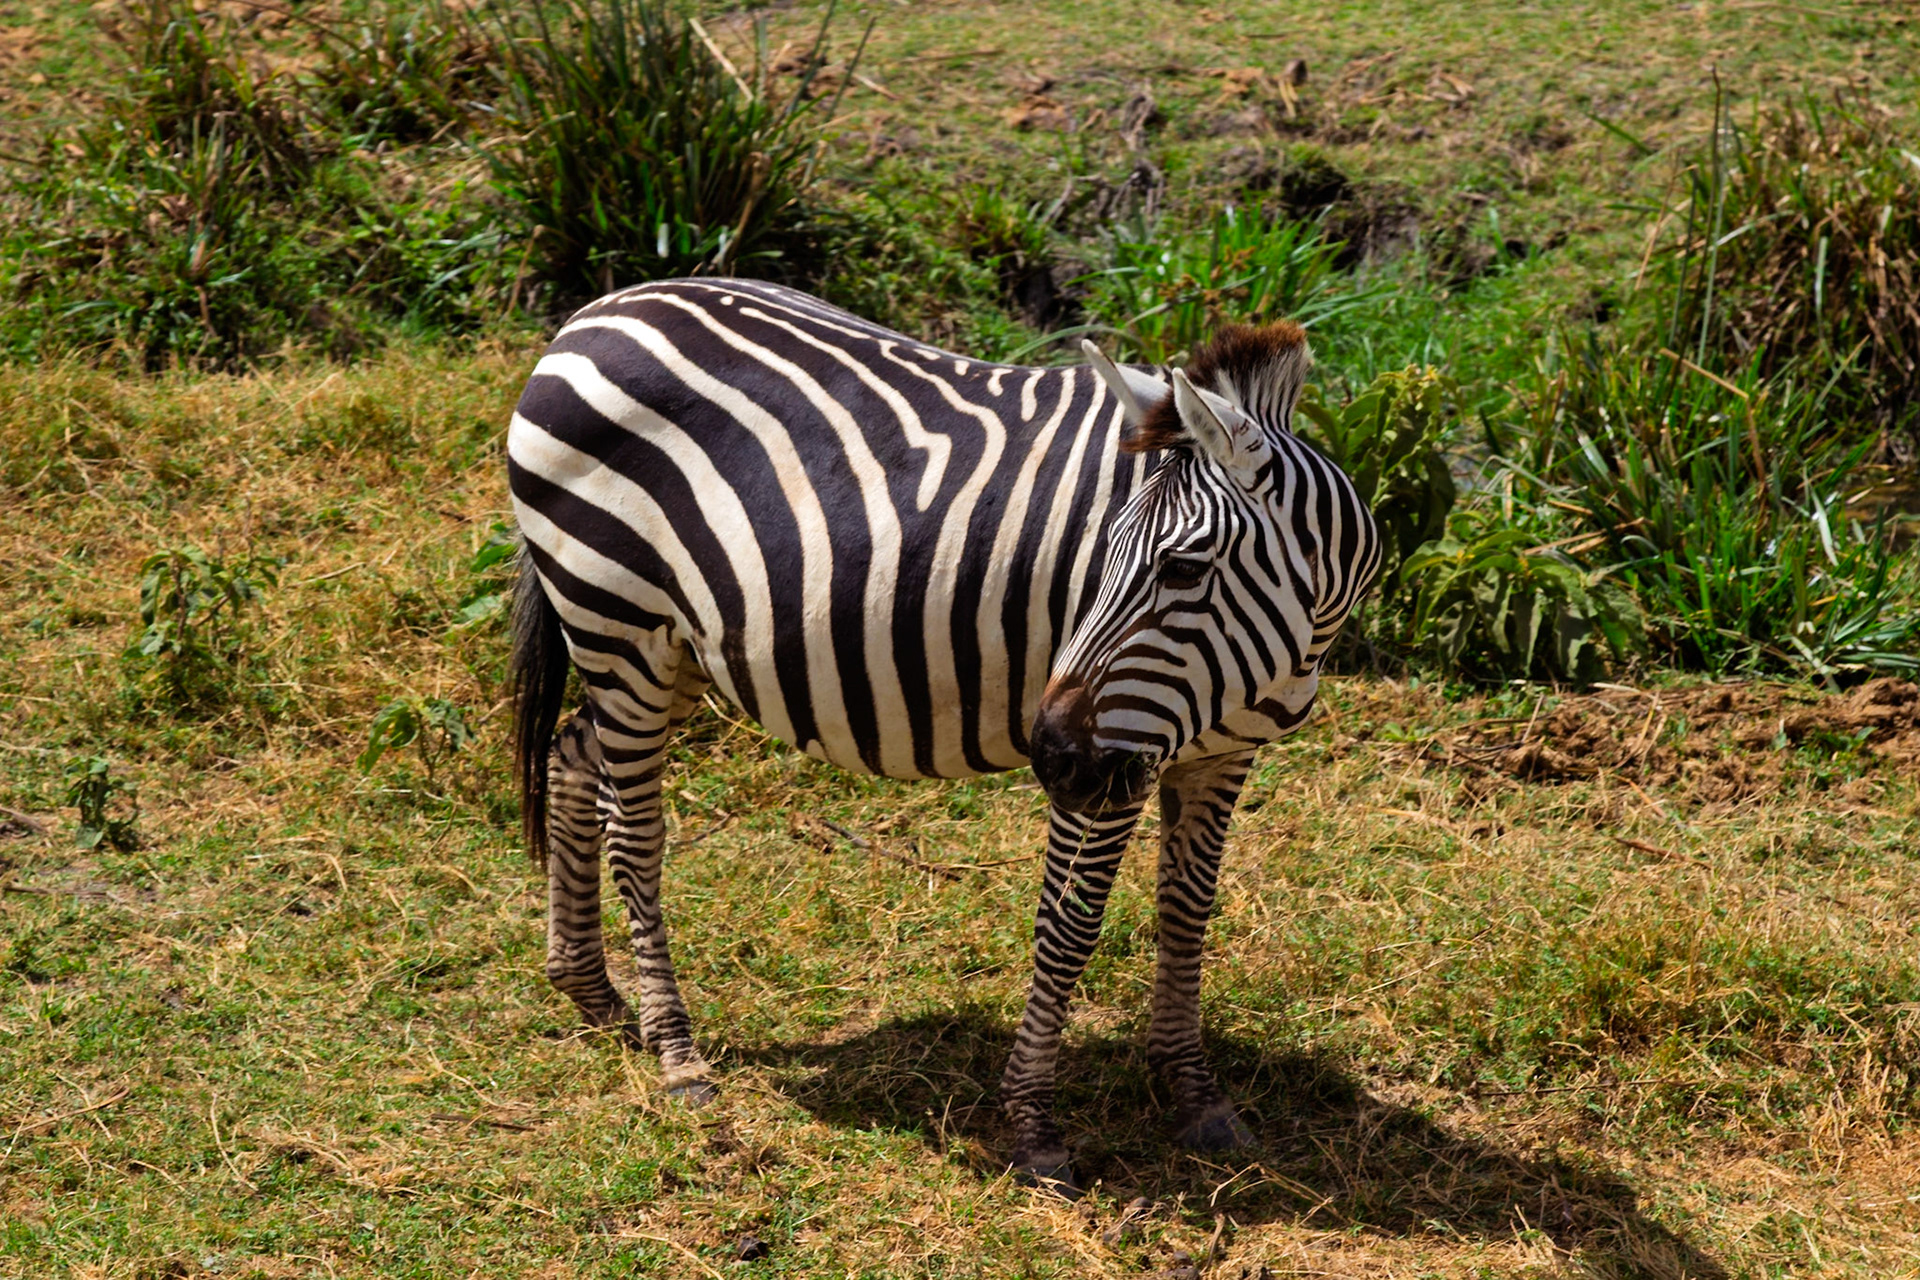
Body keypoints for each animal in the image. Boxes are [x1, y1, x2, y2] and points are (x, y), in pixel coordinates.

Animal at [507, 278, 1381, 1193]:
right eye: (1099, 551)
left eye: (1180, 570)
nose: (1049, 754)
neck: (1273, 652)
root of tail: (597, 312)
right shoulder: (1112, 770)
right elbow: (1068, 928)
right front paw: (1033, 1126)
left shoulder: (1216, 758)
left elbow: (1186, 915)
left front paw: (1194, 1095)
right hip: (617, 621)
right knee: (635, 832)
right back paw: (677, 1052)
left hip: (673, 649)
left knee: (573, 757)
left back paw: (592, 990)